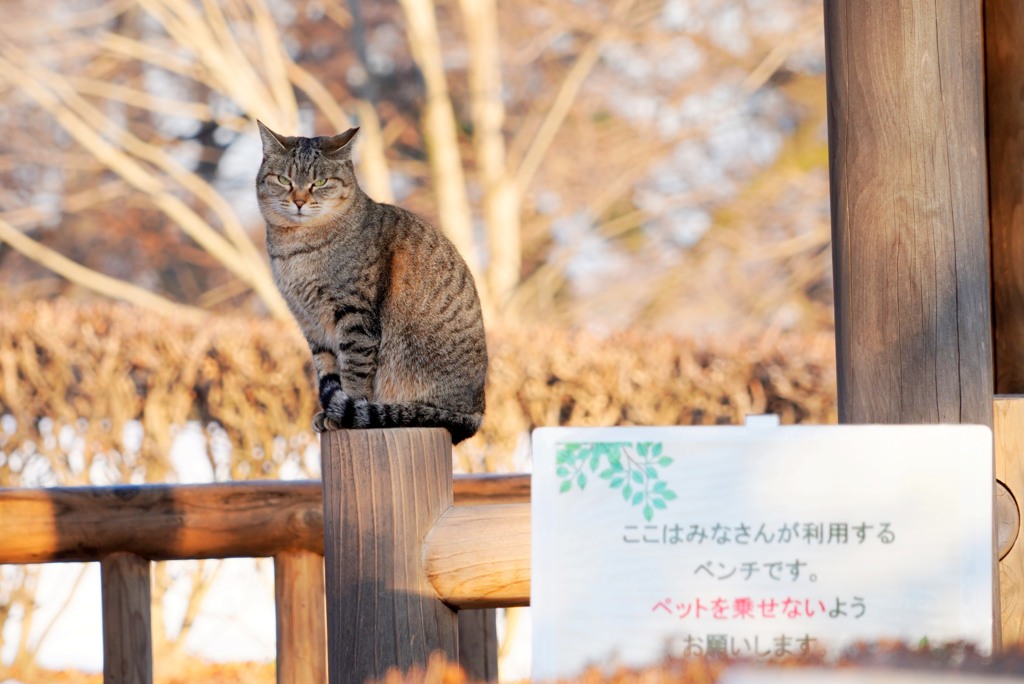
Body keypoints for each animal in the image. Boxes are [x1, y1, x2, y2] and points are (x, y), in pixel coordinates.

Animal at [254, 122, 487, 444]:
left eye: (320, 182)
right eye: (283, 179)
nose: (299, 201)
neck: (296, 247)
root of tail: (477, 412)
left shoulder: (355, 316)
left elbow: (354, 370)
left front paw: (344, 413)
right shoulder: (311, 324)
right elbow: (326, 366)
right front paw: (328, 412)